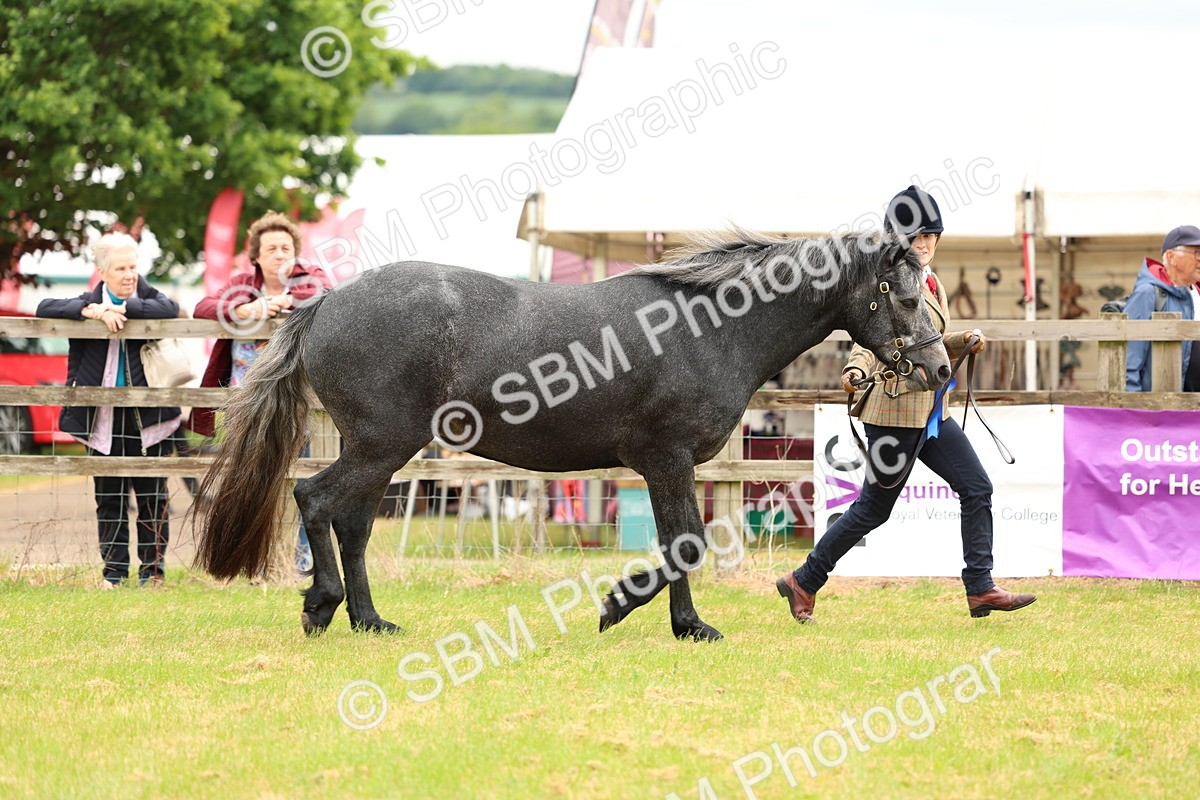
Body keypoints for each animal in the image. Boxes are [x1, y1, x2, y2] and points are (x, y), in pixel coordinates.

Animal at [194, 229, 951, 641]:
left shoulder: (665, 467)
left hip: (381, 452)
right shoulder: (666, 457)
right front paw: (633, 610)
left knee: (351, 524)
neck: (710, 326)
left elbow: (678, 544)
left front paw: (681, 624)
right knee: (316, 502)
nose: (941, 367)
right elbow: (686, 542)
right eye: (908, 295)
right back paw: (321, 607)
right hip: (380, 444)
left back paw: (370, 619)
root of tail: (325, 303)